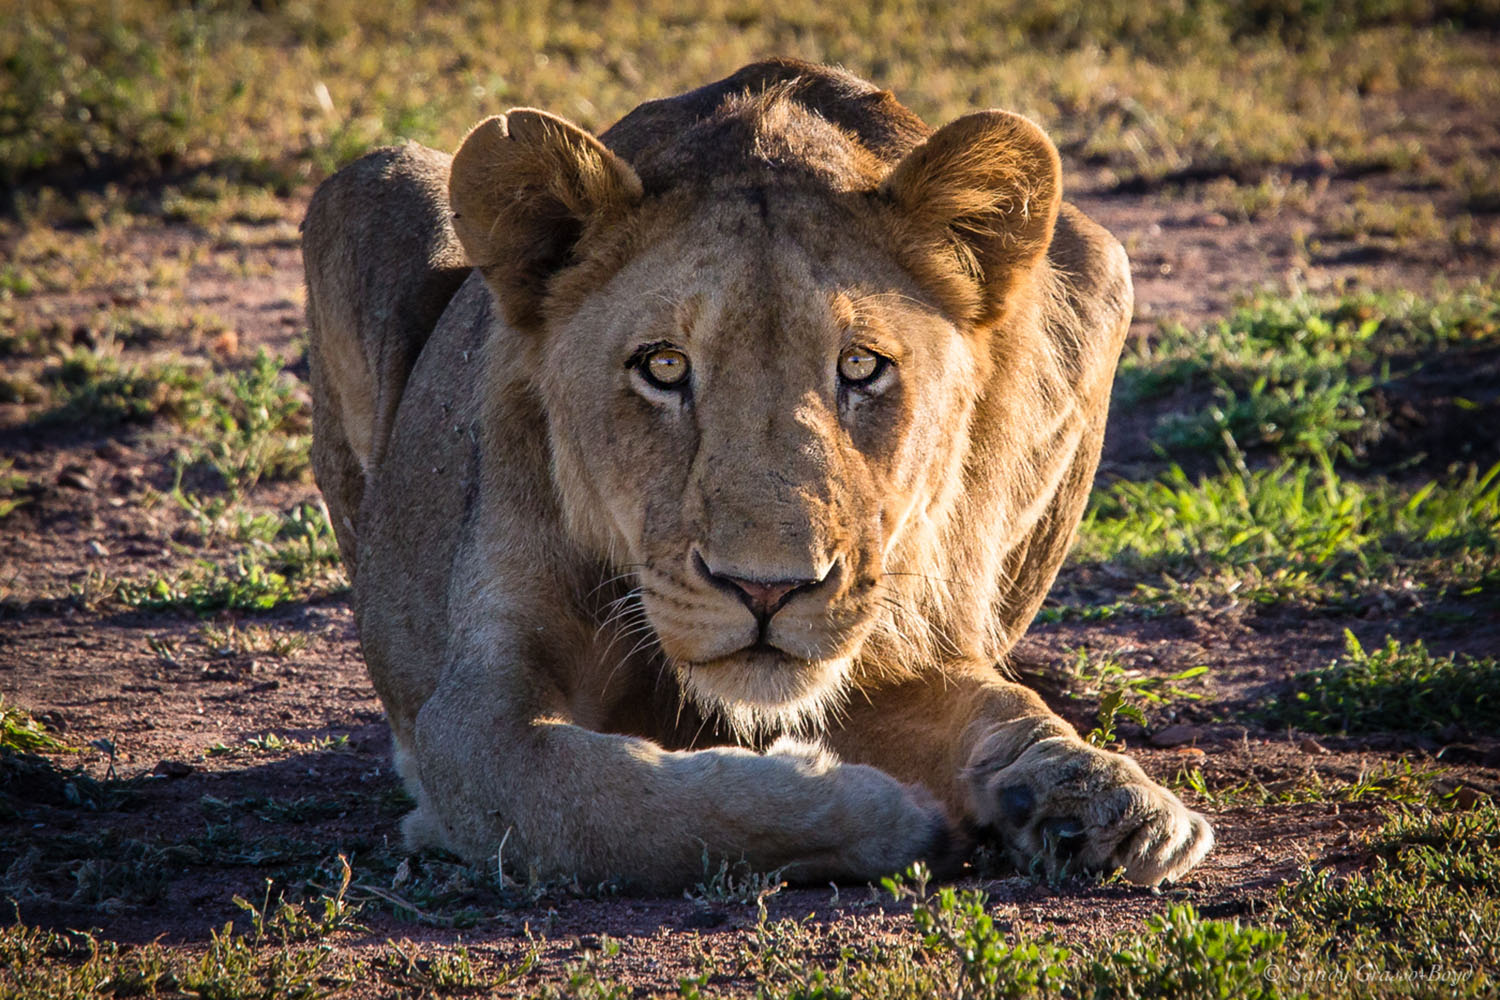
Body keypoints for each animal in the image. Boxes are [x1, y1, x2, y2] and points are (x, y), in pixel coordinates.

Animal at [301, 59, 1213, 891]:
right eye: (664, 366)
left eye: (861, 366)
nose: (766, 590)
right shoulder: (474, 715)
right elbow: (607, 804)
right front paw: (889, 816)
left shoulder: (883, 646)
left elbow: (996, 705)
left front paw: (1094, 794)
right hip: (371, 178)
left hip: (1096, 256)